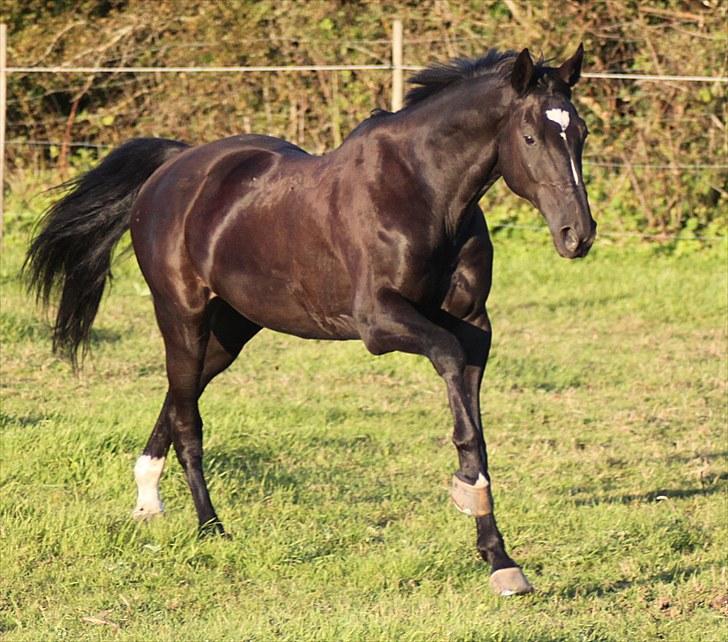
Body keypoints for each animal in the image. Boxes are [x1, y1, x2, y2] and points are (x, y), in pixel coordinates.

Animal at [27, 45, 596, 596]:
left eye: (581, 133)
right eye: (529, 136)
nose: (578, 235)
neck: (424, 194)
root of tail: (174, 167)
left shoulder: (476, 326)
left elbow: (474, 426)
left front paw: (500, 560)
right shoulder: (380, 323)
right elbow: (456, 392)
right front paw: (467, 494)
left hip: (231, 330)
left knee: (180, 393)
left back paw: (147, 501)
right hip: (182, 315)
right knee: (188, 416)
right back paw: (210, 527)